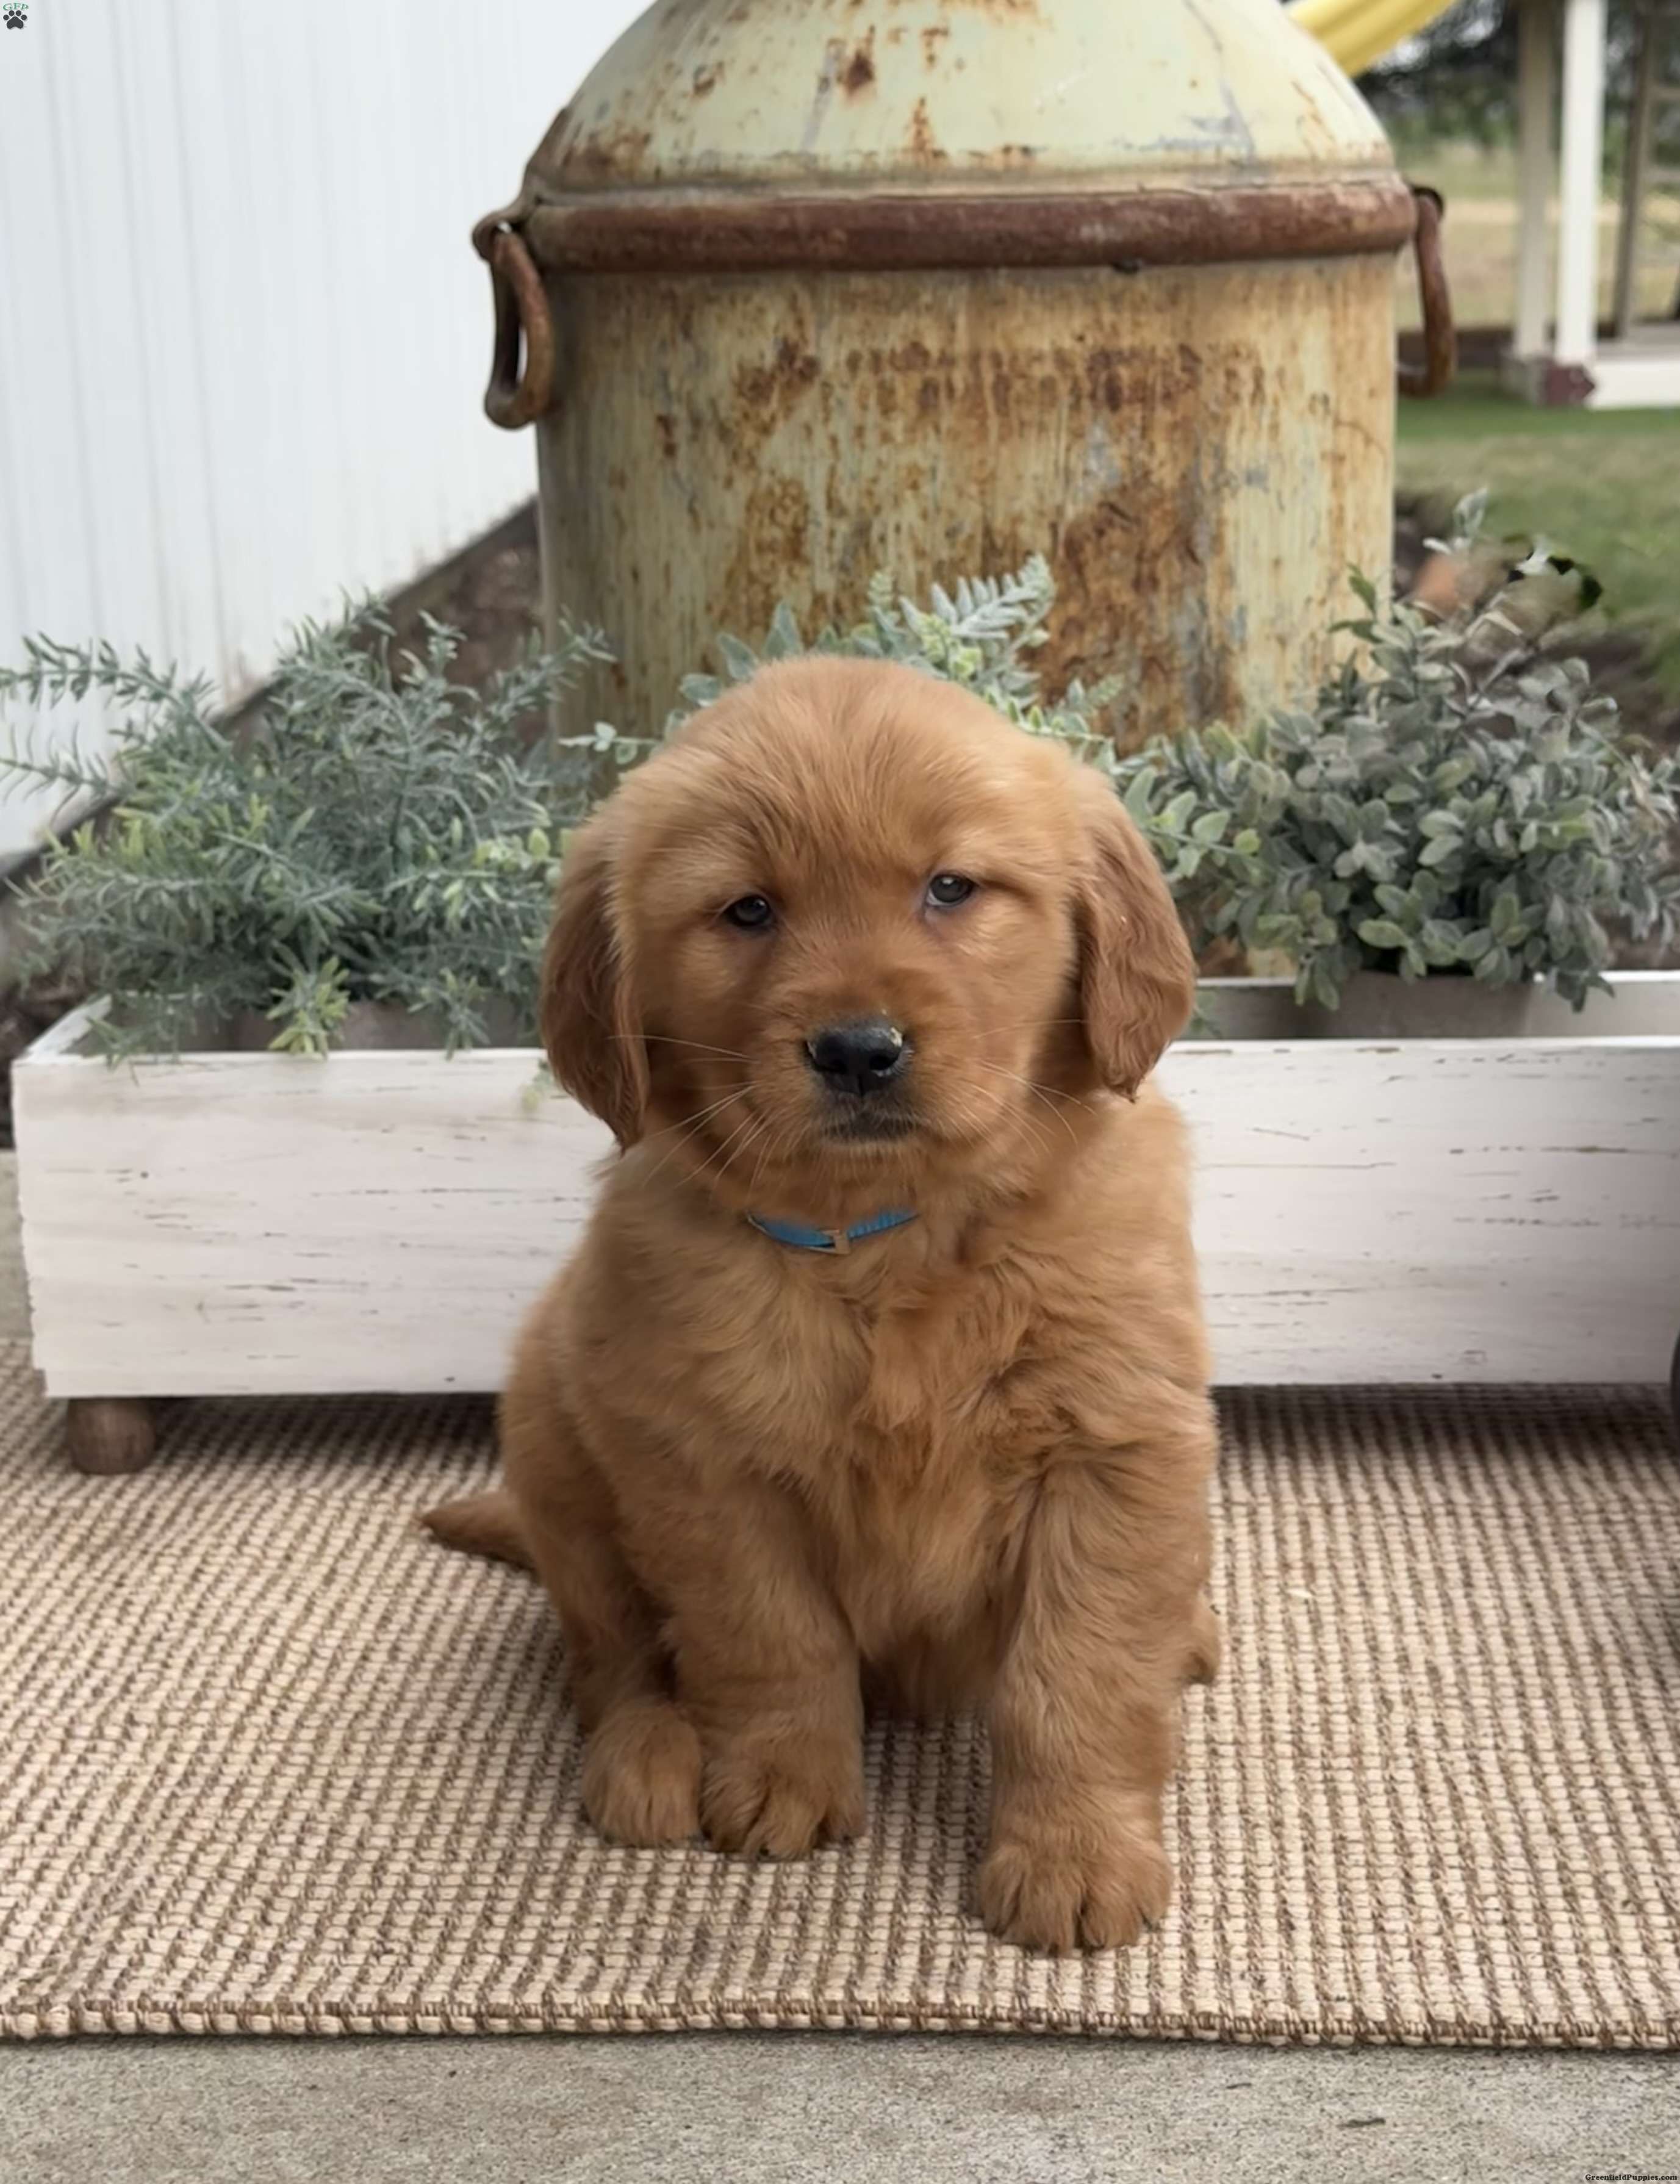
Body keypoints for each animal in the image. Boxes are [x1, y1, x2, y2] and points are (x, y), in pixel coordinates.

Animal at [423, 657, 1219, 1953]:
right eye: (747, 911)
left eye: (949, 887)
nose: (857, 1049)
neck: (886, 1241)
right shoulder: (707, 1467)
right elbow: (767, 1639)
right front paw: (780, 1781)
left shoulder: (1113, 1448)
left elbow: (1078, 1674)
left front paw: (1074, 1853)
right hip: (553, 1437)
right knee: (607, 1663)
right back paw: (647, 1762)